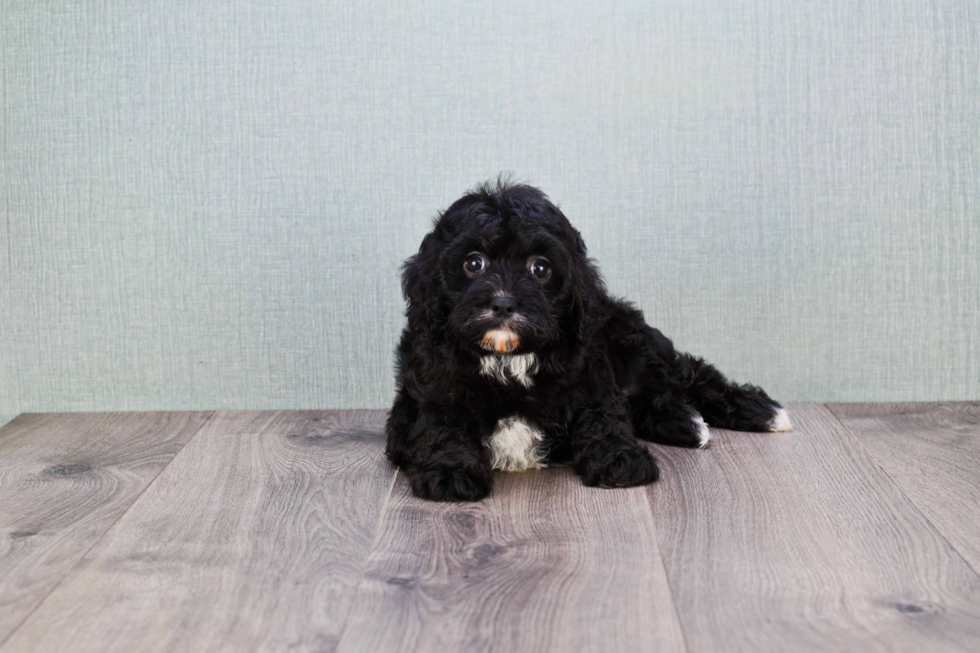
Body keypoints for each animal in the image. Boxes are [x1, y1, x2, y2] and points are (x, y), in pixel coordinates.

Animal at [382, 181, 788, 502]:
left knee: (689, 375)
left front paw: (618, 458)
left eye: (540, 268)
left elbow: (601, 415)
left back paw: (760, 412)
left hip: (635, 344)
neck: (508, 359)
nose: (503, 302)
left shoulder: (592, 376)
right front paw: (450, 470)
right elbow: (439, 425)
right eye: (473, 263)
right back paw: (687, 423)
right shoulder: (425, 392)